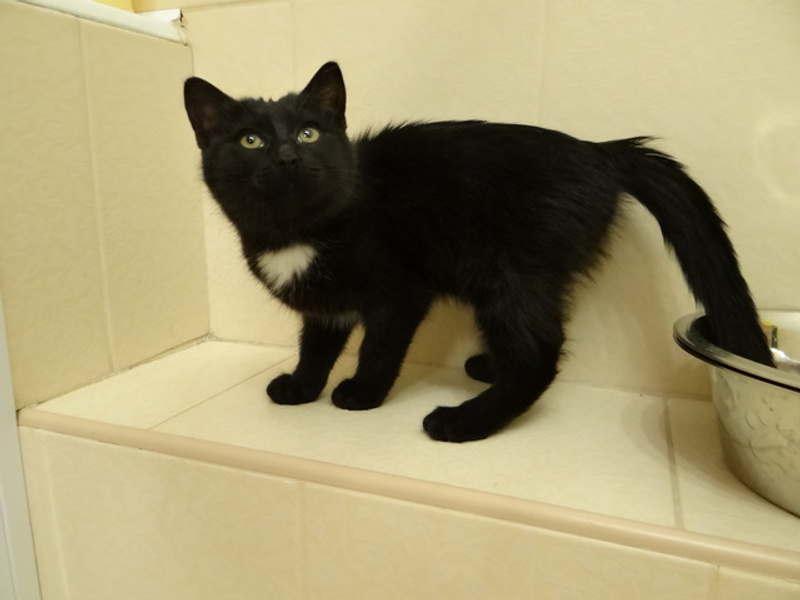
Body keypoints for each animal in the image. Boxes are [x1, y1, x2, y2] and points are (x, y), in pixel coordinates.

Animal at [184, 61, 773, 442]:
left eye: (308, 133)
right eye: (250, 141)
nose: (286, 156)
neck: (298, 232)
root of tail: (603, 152)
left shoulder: (400, 295)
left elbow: (378, 348)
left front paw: (362, 394)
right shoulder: (325, 307)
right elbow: (316, 346)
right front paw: (303, 386)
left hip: (504, 271)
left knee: (539, 353)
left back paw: (462, 422)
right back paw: (489, 367)